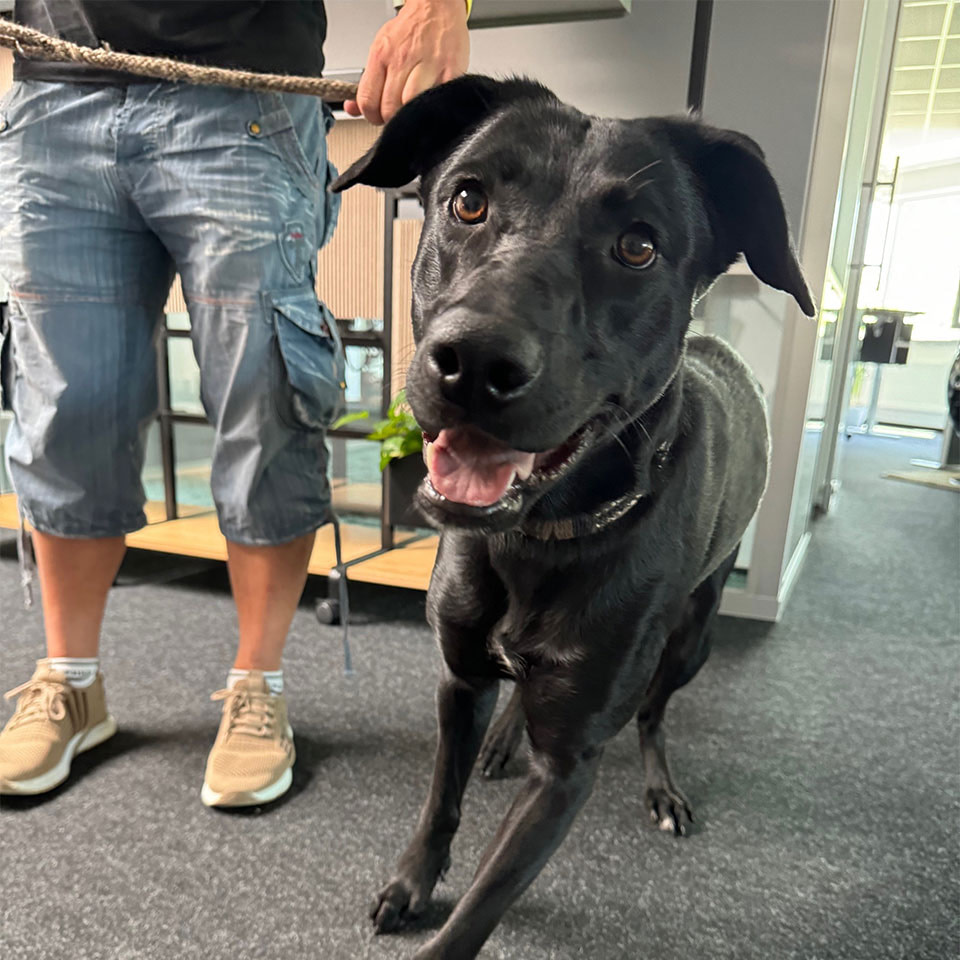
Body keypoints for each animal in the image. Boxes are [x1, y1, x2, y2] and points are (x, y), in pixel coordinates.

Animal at [334, 77, 812, 960]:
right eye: (467, 199)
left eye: (639, 247)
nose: (474, 363)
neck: (538, 539)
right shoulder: (457, 677)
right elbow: (440, 800)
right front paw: (413, 880)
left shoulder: (567, 771)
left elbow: (482, 904)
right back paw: (502, 737)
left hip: (693, 636)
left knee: (656, 713)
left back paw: (662, 787)